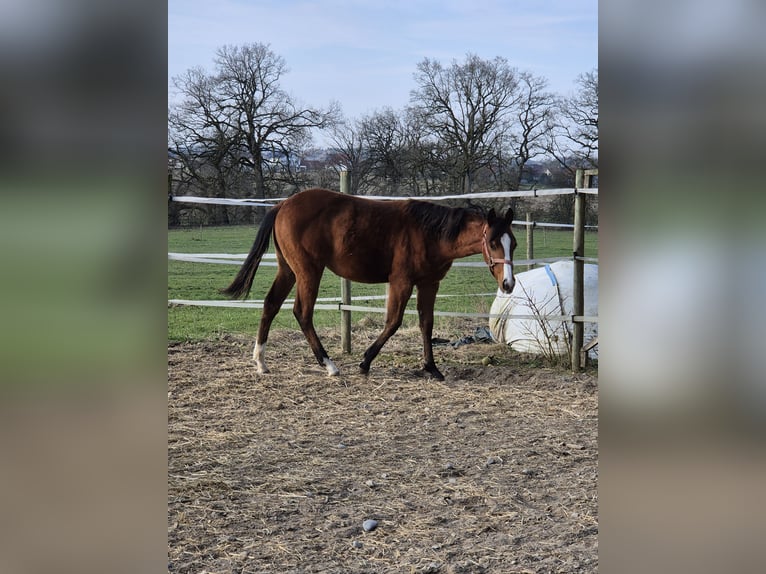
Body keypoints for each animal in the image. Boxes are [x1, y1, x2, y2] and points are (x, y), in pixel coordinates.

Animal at [222, 187, 516, 380]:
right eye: (492, 242)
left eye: (512, 243)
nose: (508, 283)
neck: (429, 233)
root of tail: (282, 205)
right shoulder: (401, 282)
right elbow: (393, 322)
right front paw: (365, 362)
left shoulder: (429, 284)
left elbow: (426, 323)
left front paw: (431, 368)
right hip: (308, 271)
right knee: (302, 313)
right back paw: (329, 365)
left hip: (288, 270)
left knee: (270, 305)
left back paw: (261, 362)